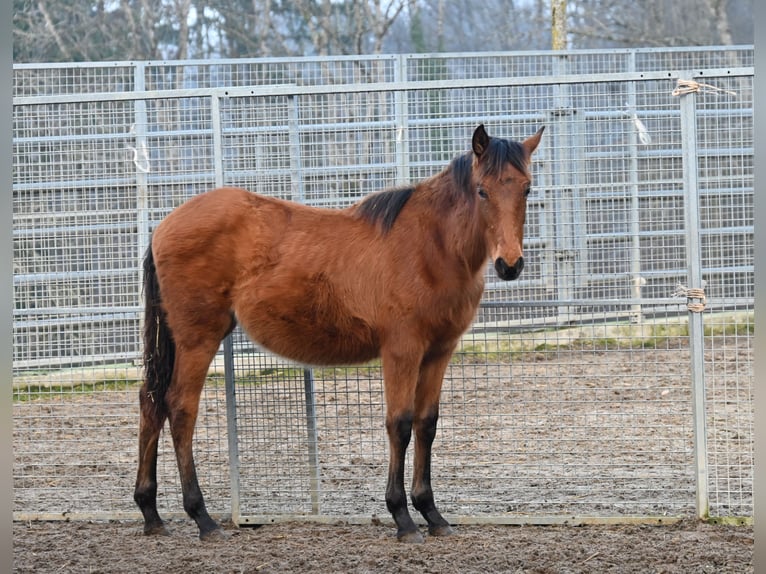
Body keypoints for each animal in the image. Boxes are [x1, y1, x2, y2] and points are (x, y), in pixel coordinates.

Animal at [134, 124, 544, 543]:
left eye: (526, 189)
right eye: (482, 190)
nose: (510, 265)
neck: (432, 247)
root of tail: (163, 226)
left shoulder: (438, 352)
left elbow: (426, 424)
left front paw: (432, 514)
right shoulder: (402, 350)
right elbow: (399, 423)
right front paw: (402, 517)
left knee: (151, 404)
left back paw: (151, 512)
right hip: (197, 338)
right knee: (180, 408)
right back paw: (202, 518)